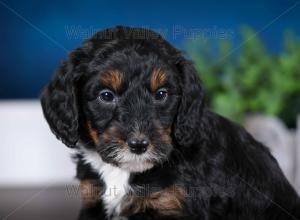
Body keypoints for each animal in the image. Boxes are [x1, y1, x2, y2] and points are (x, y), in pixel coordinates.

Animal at [41, 26, 300, 219]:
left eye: (161, 94)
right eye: (106, 95)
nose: (138, 145)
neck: (126, 172)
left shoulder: (171, 204)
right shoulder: (92, 198)